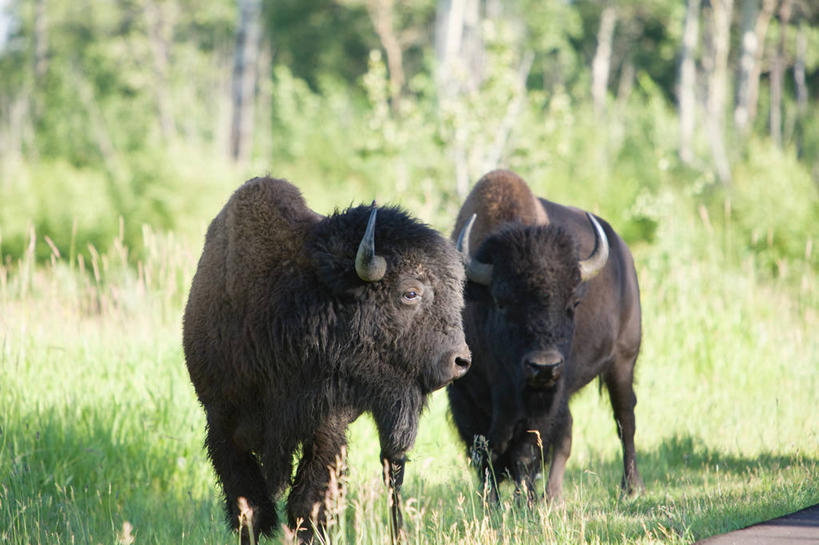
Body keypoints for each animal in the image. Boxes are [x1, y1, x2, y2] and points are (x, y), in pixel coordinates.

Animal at [183, 176, 470, 540]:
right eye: (410, 292)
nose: (460, 361)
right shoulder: (222, 420)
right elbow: (249, 508)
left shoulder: (325, 423)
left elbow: (308, 501)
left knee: (392, 470)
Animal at [448, 169, 648, 502]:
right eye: (502, 302)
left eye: (573, 304)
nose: (544, 366)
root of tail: (624, 252)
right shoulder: (464, 396)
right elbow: (483, 453)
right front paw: (492, 504)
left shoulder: (540, 404)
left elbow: (526, 451)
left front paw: (523, 502)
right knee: (569, 433)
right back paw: (553, 496)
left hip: (623, 361)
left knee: (625, 420)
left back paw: (629, 488)